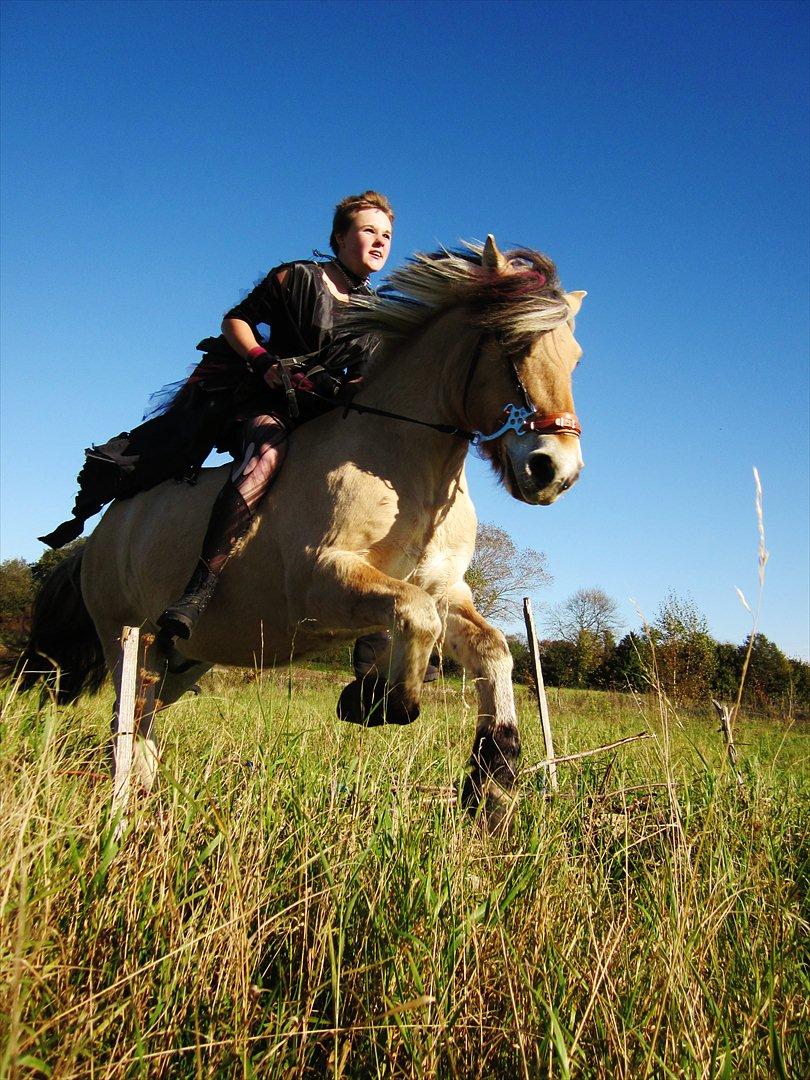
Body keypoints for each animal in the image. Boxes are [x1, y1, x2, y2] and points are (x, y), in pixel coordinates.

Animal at [25, 236, 587, 820]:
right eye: (512, 342)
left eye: (575, 357)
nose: (555, 472)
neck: (405, 466)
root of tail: (98, 537)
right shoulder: (321, 582)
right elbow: (414, 617)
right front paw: (374, 701)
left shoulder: (446, 590)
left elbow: (489, 647)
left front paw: (492, 780)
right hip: (126, 640)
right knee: (129, 727)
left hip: (181, 661)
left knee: (145, 729)